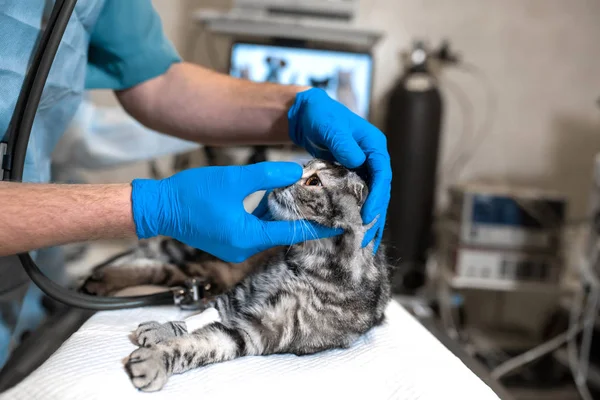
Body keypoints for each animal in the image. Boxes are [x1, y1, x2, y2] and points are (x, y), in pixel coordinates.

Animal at [81, 159, 390, 390]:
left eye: (314, 182)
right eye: (302, 166)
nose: (279, 182)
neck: (304, 261)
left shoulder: (258, 332)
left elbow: (196, 344)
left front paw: (155, 359)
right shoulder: (239, 295)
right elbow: (198, 319)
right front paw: (162, 329)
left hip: (200, 270)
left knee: (162, 269)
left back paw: (100, 281)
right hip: (195, 240)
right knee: (151, 257)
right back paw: (99, 277)